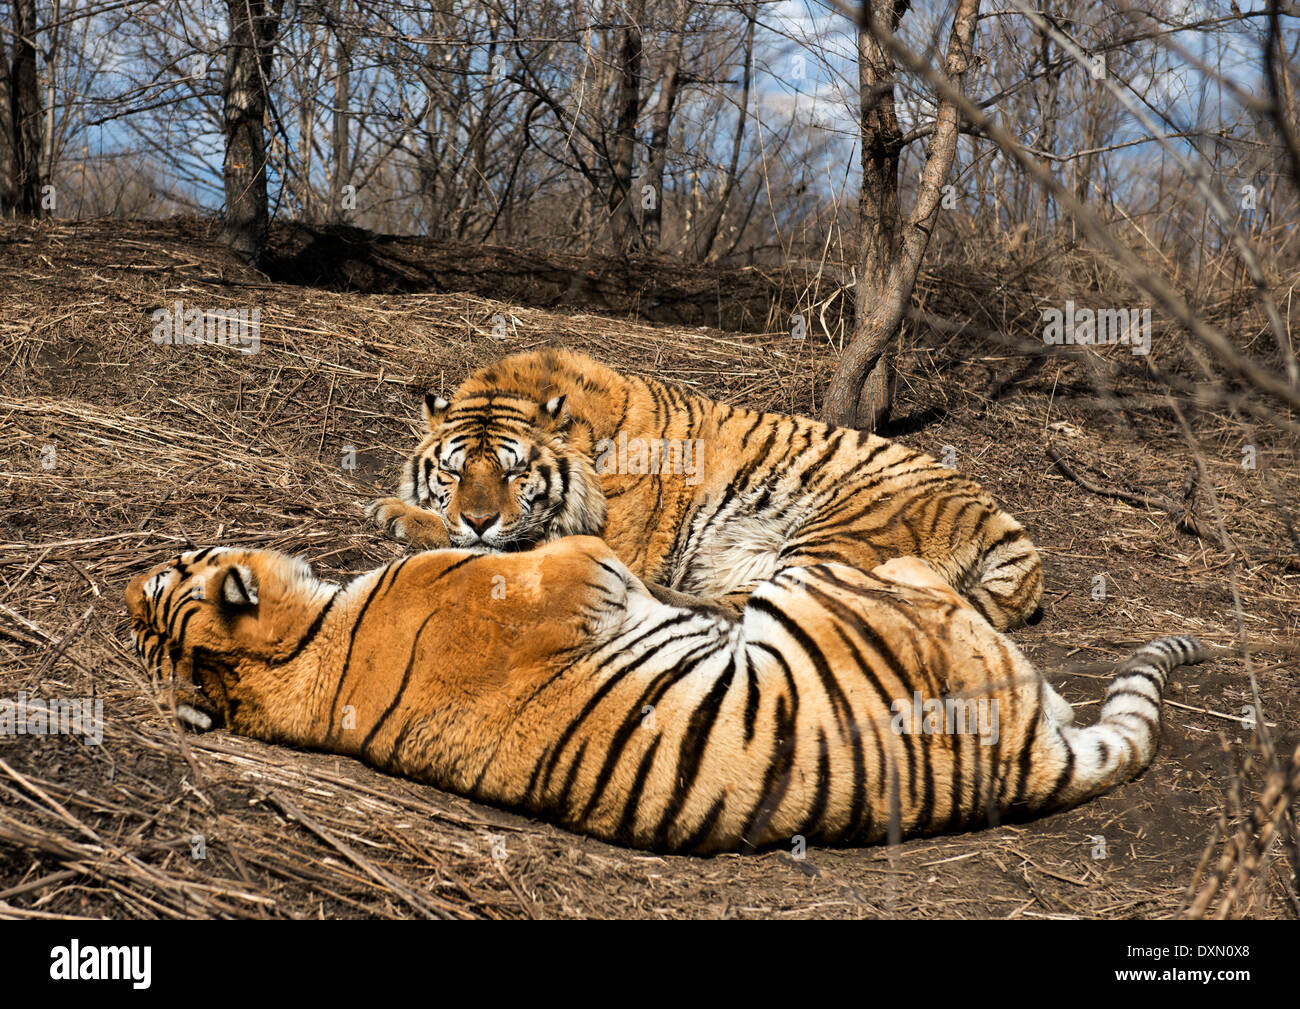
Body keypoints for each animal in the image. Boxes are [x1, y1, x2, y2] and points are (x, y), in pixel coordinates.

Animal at [126, 540, 1201, 852]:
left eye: (167, 573)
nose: (130, 582)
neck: (304, 655)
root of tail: (1023, 768)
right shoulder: (567, 569)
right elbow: (586, 548)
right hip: (829, 588)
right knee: (912, 578)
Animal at [366, 351, 1045, 626]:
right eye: (454, 472)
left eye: (513, 472)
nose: (479, 519)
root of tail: (1010, 532)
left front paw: (397, 513)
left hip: (846, 525)